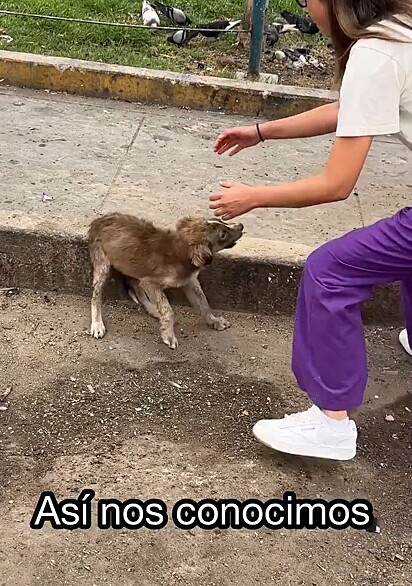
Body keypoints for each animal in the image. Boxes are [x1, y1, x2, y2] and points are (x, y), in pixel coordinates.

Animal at [88, 213, 243, 346]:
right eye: (223, 234)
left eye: (221, 220)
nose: (241, 225)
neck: (182, 251)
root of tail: (98, 220)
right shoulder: (151, 283)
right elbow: (168, 309)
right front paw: (168, 334)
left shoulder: (189, 282)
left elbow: (203, 302)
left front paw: (214, 321)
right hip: (103, 264)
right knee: (96, 295)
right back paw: (97, 324)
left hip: (134, 267)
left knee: (135, 286)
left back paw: (152, 309)